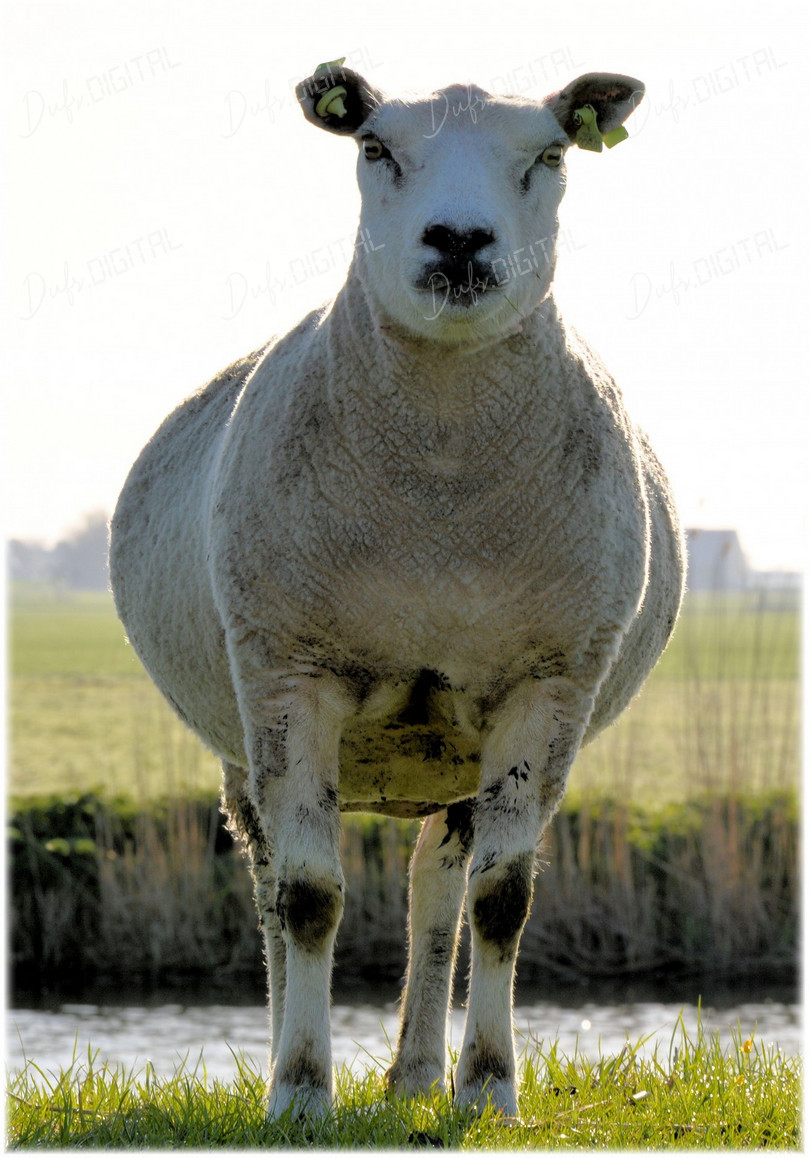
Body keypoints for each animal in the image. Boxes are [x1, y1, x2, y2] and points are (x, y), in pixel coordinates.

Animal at [109, 61, 685, 1121]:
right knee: (268, 883)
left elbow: (502, 900)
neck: (441, 497)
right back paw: (297, 1060)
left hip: (452, 754)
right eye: (374, 147)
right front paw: (300, 1095)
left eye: (550, 155)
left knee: (435, 892)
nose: (458, 239)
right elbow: (307, 897)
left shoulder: (547, 684)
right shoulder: (287, 673)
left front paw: (489, 1088)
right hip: (242, 739)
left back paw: (418, 1075)